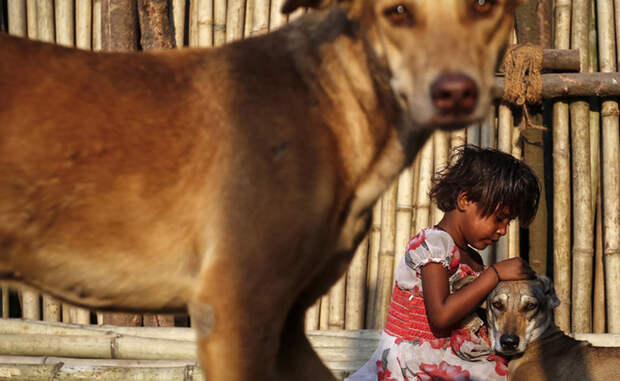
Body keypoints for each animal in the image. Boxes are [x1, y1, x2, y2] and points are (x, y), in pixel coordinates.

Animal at [1, 1, 520, 378]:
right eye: (396, 11)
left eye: (484, 4)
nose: (454, 92)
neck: (327, 103)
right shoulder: (233, 311)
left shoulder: (287, 322)